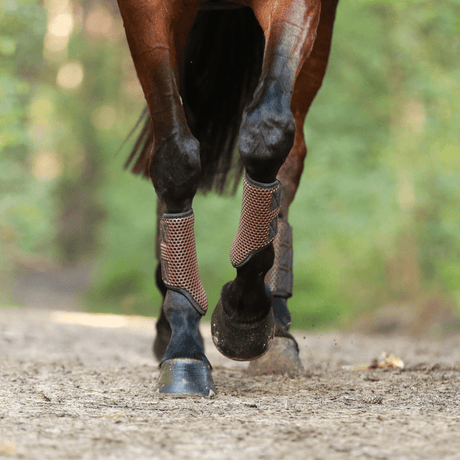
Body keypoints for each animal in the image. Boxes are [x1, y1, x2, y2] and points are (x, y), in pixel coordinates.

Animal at [117, 0, 340, 396]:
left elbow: (268, 131)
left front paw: (243, 317)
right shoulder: (144, 11)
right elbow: (175, 157)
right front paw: (184, 345)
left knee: (290, 151)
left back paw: (278, 329)